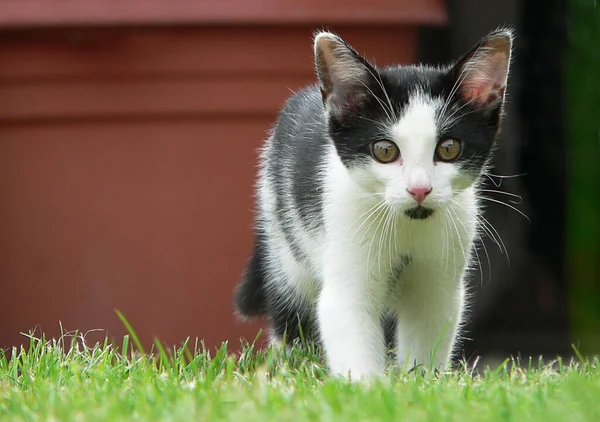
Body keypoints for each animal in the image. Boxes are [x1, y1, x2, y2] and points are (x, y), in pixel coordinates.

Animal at [232, 29, 512, 380]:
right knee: (289, 309)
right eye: (384, 150)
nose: (419, 189)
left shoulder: (441, 277)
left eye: (449, 148)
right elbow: (347, 318)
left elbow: (428, 327)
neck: (407, 224)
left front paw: (421, 382)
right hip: (284, 241)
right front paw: (366, 385)